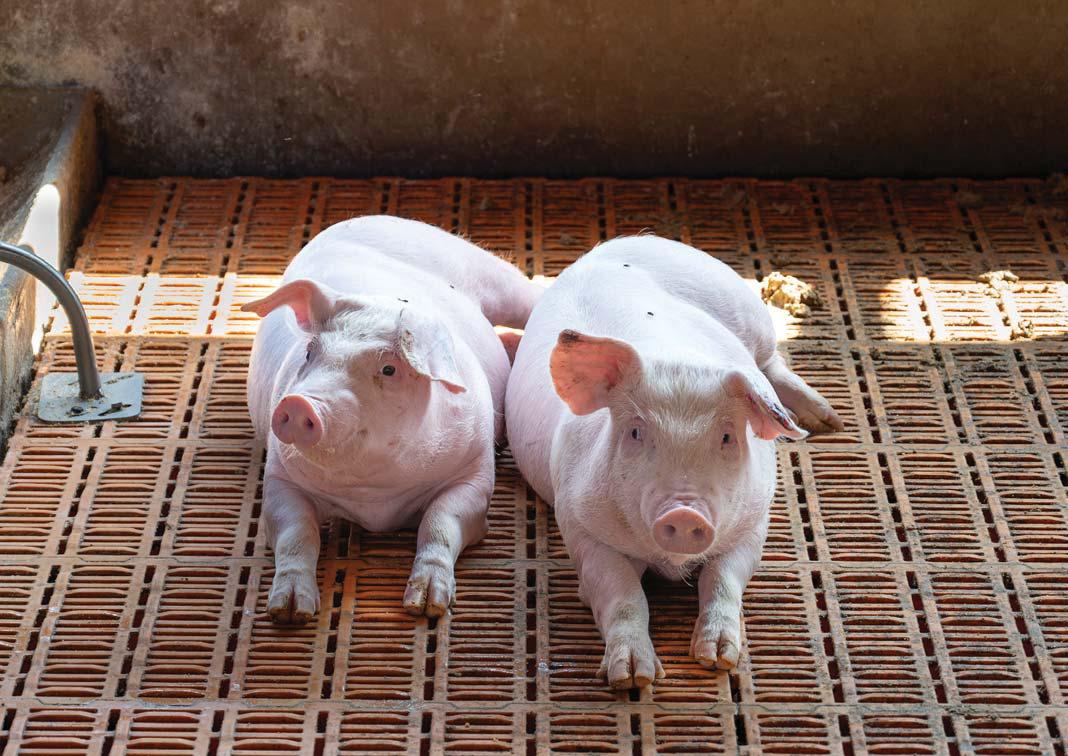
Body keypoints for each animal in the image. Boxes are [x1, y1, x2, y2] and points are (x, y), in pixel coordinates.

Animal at [243, 215, 541, 624]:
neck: (375, 497)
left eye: (389, 369)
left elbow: (440, 522)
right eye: (310, 352)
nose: (298, 403)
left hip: (488, 273)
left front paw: (426, 606)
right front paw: (289, 612)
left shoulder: (475, 471)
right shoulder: (279, 478)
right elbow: (295, 532)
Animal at [505, 236, 842, 688]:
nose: (685, 512)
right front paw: (633, 678)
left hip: (745, 311)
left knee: (772, 366)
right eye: (635, 432)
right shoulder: (580, 526)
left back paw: (827, 421)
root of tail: (614, 246)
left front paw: (716, 660)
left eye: (727, 436)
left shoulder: (753, 523)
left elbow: (723, 580)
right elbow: (623, 595)